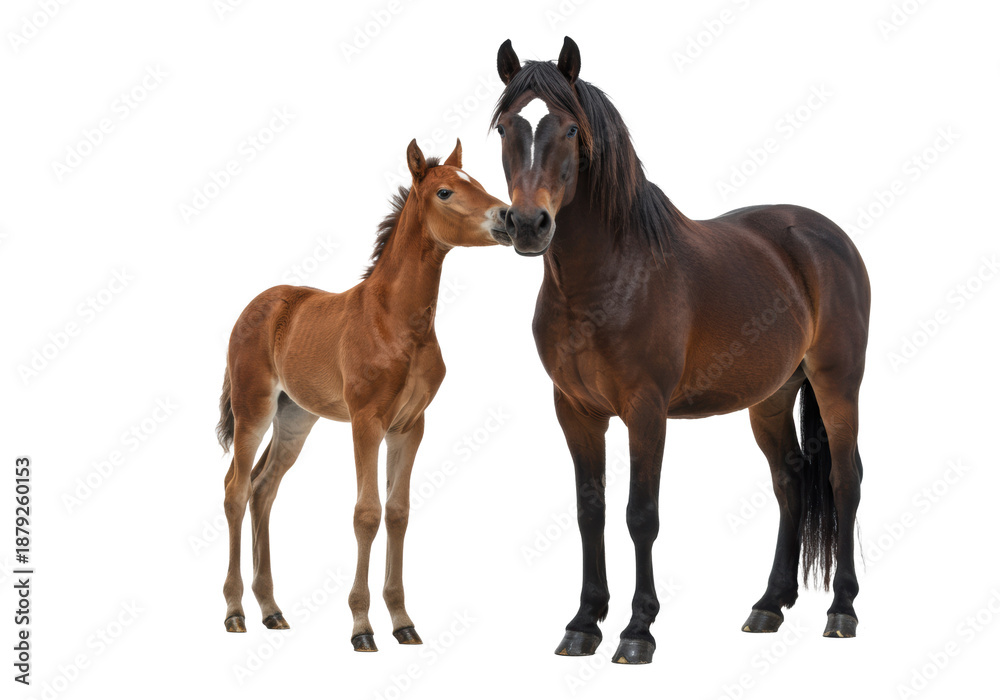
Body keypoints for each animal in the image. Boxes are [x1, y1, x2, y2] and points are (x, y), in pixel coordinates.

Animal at [216, 139, 509, 651]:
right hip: (253, 409)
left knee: (263, 488)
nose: (510, 218)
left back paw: (271, 610)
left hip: (295, 418)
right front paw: (361, 626)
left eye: (480, 181)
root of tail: (257, 305)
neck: (396, 322)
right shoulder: (366, 421)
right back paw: (235, 611)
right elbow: (367, 514)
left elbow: (398, 513)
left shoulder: (409, 426)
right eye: (446, 192)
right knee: (235, 489)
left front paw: (403, 621)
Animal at [491, 37, 870, 664]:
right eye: (504, 128)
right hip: (770, 399)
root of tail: (825, 236)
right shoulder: (576, 412)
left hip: (837, 384)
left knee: (845, 480)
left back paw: (841, 610)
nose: (526, 224)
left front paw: (636, 630)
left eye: (569, 129)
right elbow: (589, 512)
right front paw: (583, 622)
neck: (606, 277)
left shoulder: (646, 412)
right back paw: (769, 605)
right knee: (790, 482)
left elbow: (639, 515)